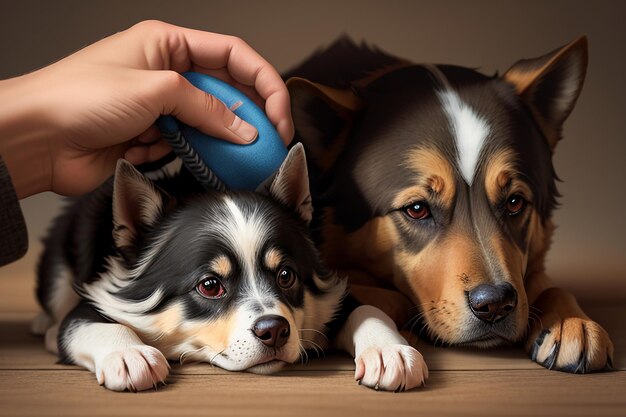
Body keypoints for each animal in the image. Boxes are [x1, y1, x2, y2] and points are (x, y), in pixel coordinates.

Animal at [31, 145, 426, 392]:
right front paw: (130, 355)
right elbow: (87, 323)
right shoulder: (100, 296)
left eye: (286, 275)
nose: (274, 331)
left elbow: (366, 308)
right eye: (209, 285)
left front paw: (389, 351)